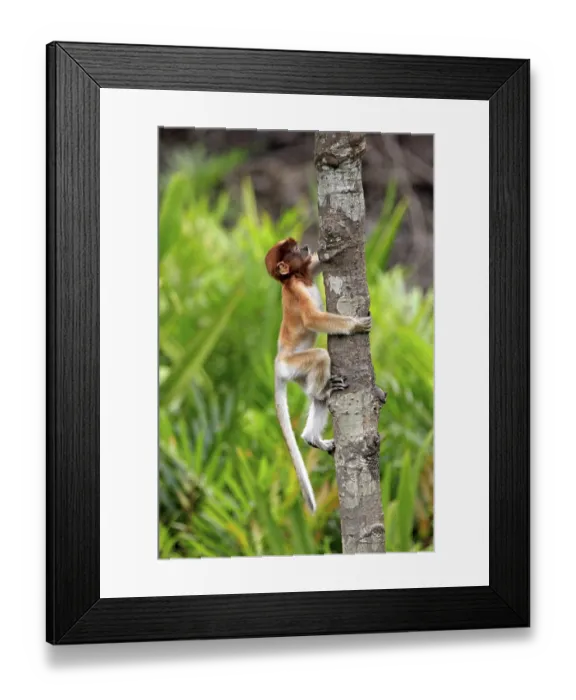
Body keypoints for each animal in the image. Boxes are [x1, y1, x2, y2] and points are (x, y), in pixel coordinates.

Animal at [264, 237, 372, 513]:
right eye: (291, 250)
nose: (303, 247)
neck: (297, 278)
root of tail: (277, 363)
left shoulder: (306, 274)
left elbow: (317, 265)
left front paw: (333, 250)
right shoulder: (297, 291)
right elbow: (313, 319)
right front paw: (356, 324)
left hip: (297, 374)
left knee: (319, 401)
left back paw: (312, 437)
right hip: (294, 364)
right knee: (322, 357)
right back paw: (323, 390)